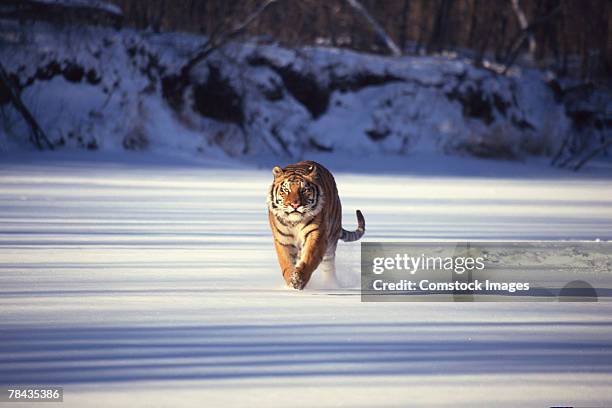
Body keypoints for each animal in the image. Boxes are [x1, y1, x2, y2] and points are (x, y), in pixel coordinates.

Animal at [266, 160, 364, 290]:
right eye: (286, 190)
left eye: (303, 190)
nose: (295, 205)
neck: (295, 222)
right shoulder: (283, 240)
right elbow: (286, 263)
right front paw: (291, 283)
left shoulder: (316, 234)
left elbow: (309, 259)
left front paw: (298, 279)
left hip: (330, 242)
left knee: (328, 267)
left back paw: (331, 285)